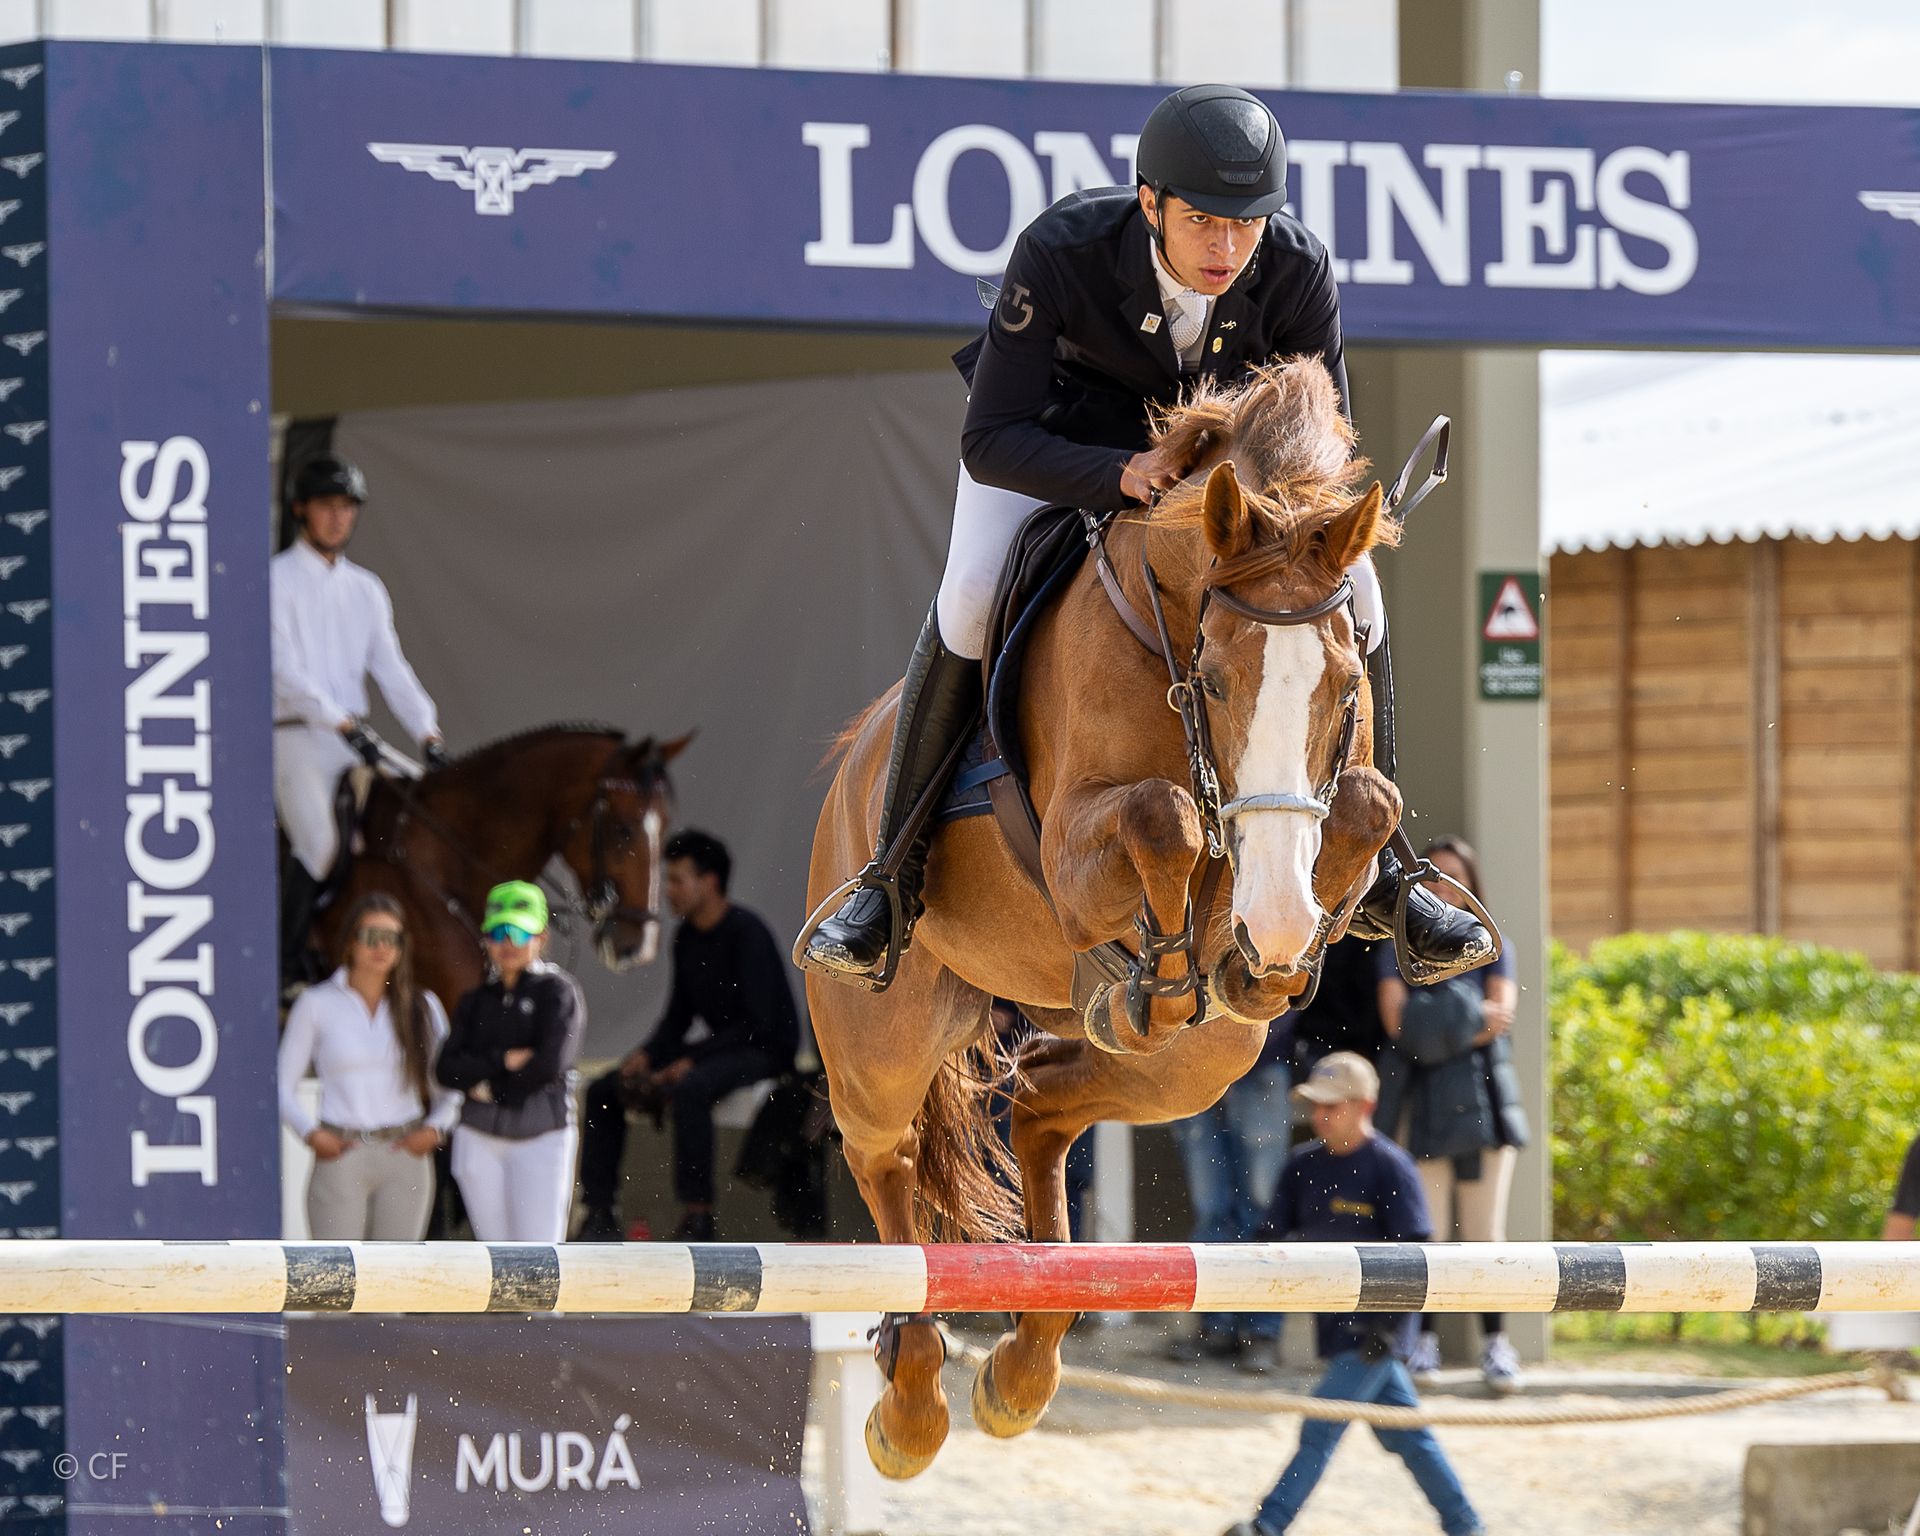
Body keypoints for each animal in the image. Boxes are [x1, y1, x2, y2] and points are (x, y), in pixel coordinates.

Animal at [803, 359, 1406, 1479]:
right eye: (1215, 678)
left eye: (1347, 681)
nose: (1275, 924)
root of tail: (860, 753)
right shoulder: (1076, 848)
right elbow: (1163, 814)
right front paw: (1174, 952)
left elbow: (1364, 804)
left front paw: (1262, 949)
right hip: (881, 1040)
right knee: (885, 1155)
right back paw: (912, 1396)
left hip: (1203, 1063)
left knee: (1043, 1100)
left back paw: (1023, 1365)